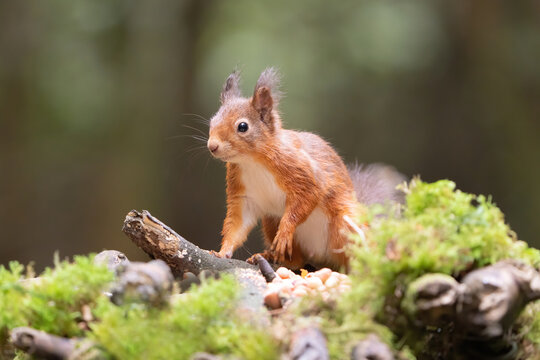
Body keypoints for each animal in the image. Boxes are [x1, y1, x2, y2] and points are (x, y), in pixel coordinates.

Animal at [209, 68, 402, 270]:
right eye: (212, 121)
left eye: (243, 126)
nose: (212, 146)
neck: (252, 161)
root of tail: (321, 257)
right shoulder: (242, 193)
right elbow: (237, 224)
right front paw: (222, 252)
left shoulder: (301, 171)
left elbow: (308, 196)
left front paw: (285, 232)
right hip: (271, 220)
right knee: (297, 261)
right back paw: (270, 256)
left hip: (345, 223)